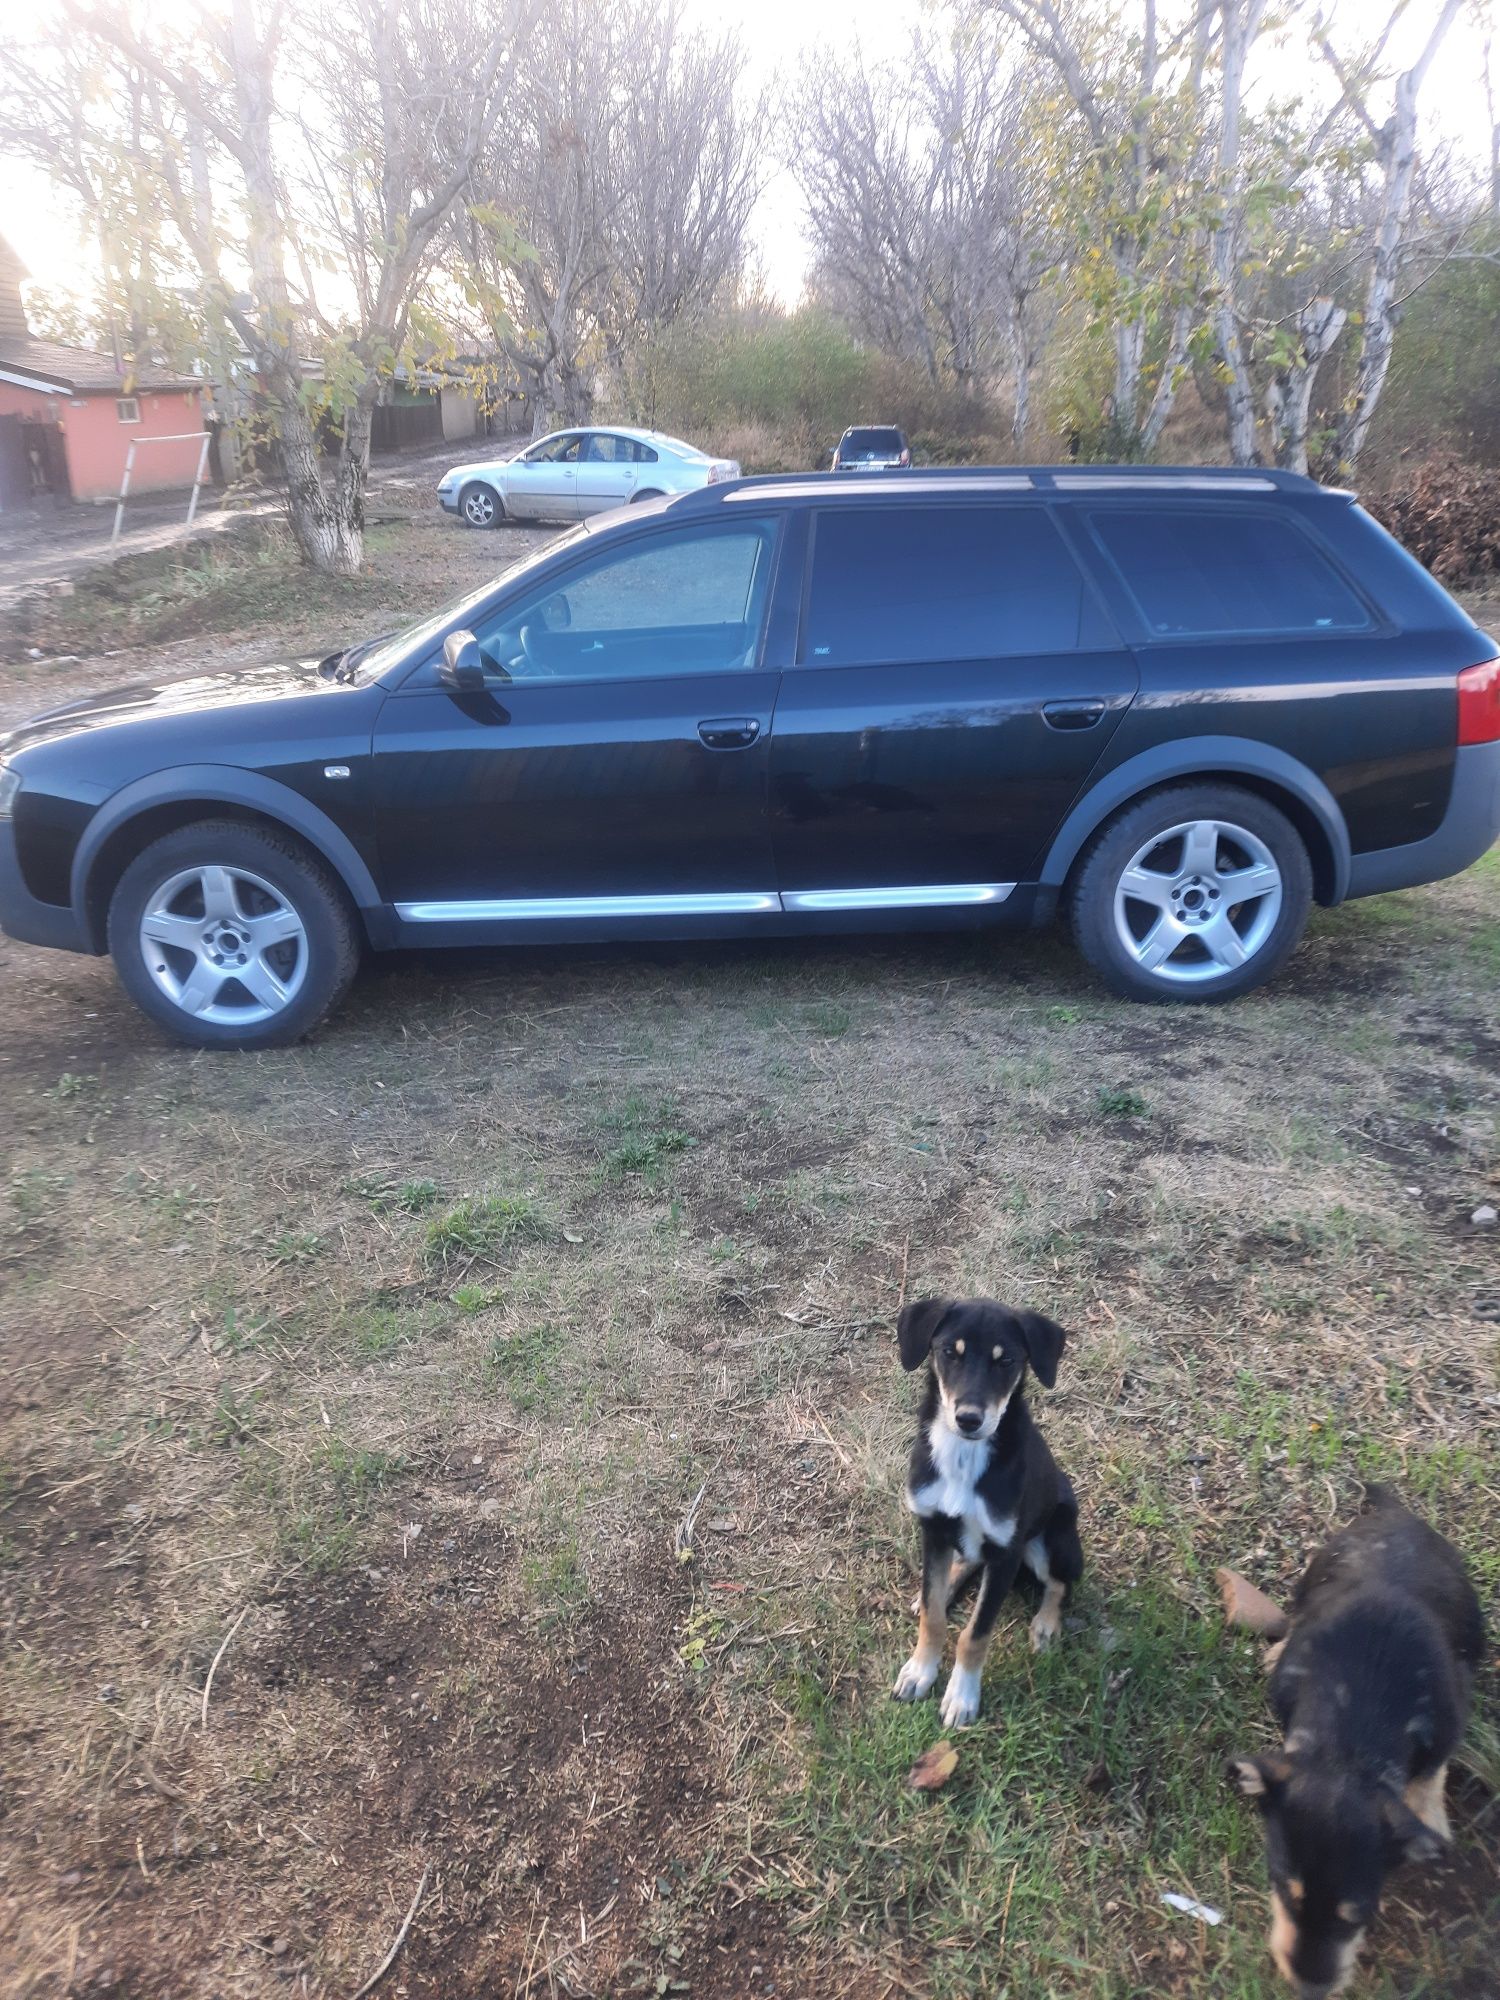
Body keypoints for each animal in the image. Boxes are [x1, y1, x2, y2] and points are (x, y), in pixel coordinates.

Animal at [892, 1296, 1080, 1736]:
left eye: (1006, 1360)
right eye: (949, 1352)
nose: (969, 1419)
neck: (963, 1455)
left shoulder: (1007, 1552)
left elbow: (975, 1635)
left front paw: (962, 1697)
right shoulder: (933, 1529)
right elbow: (934, 1616)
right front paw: (920, 1671)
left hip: (1049, 1539)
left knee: (1060, 1584)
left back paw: (1046, 1625)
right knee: (965, 1564)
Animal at [1224, 1488, 1488, 2000]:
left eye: (1357, 1916)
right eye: (1284, 1890)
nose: (1310, 1987)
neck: (1345, 1749)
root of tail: (1395, 1512)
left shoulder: (1448, 1723)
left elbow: (1430, 1775)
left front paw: (1430, 1824)